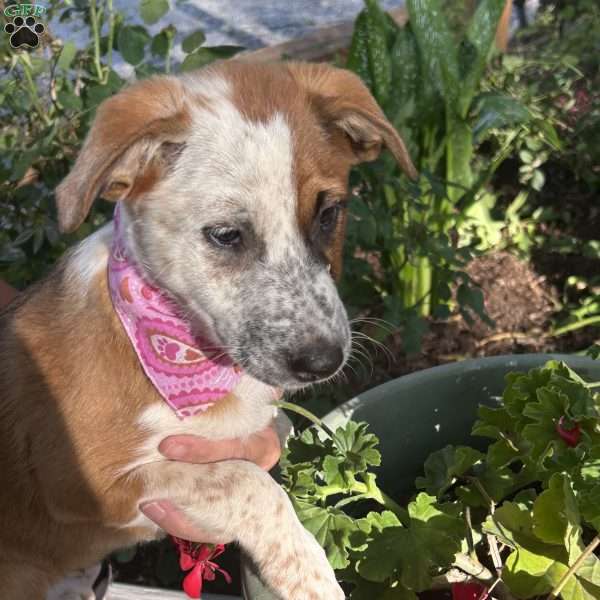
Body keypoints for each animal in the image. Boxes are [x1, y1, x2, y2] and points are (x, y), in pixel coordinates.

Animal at [0, 62, 414, 600]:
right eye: (225, 235)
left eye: (329, 214)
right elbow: (246, 481)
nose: (325, 361)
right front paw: (309, 574)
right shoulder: (85, 487)